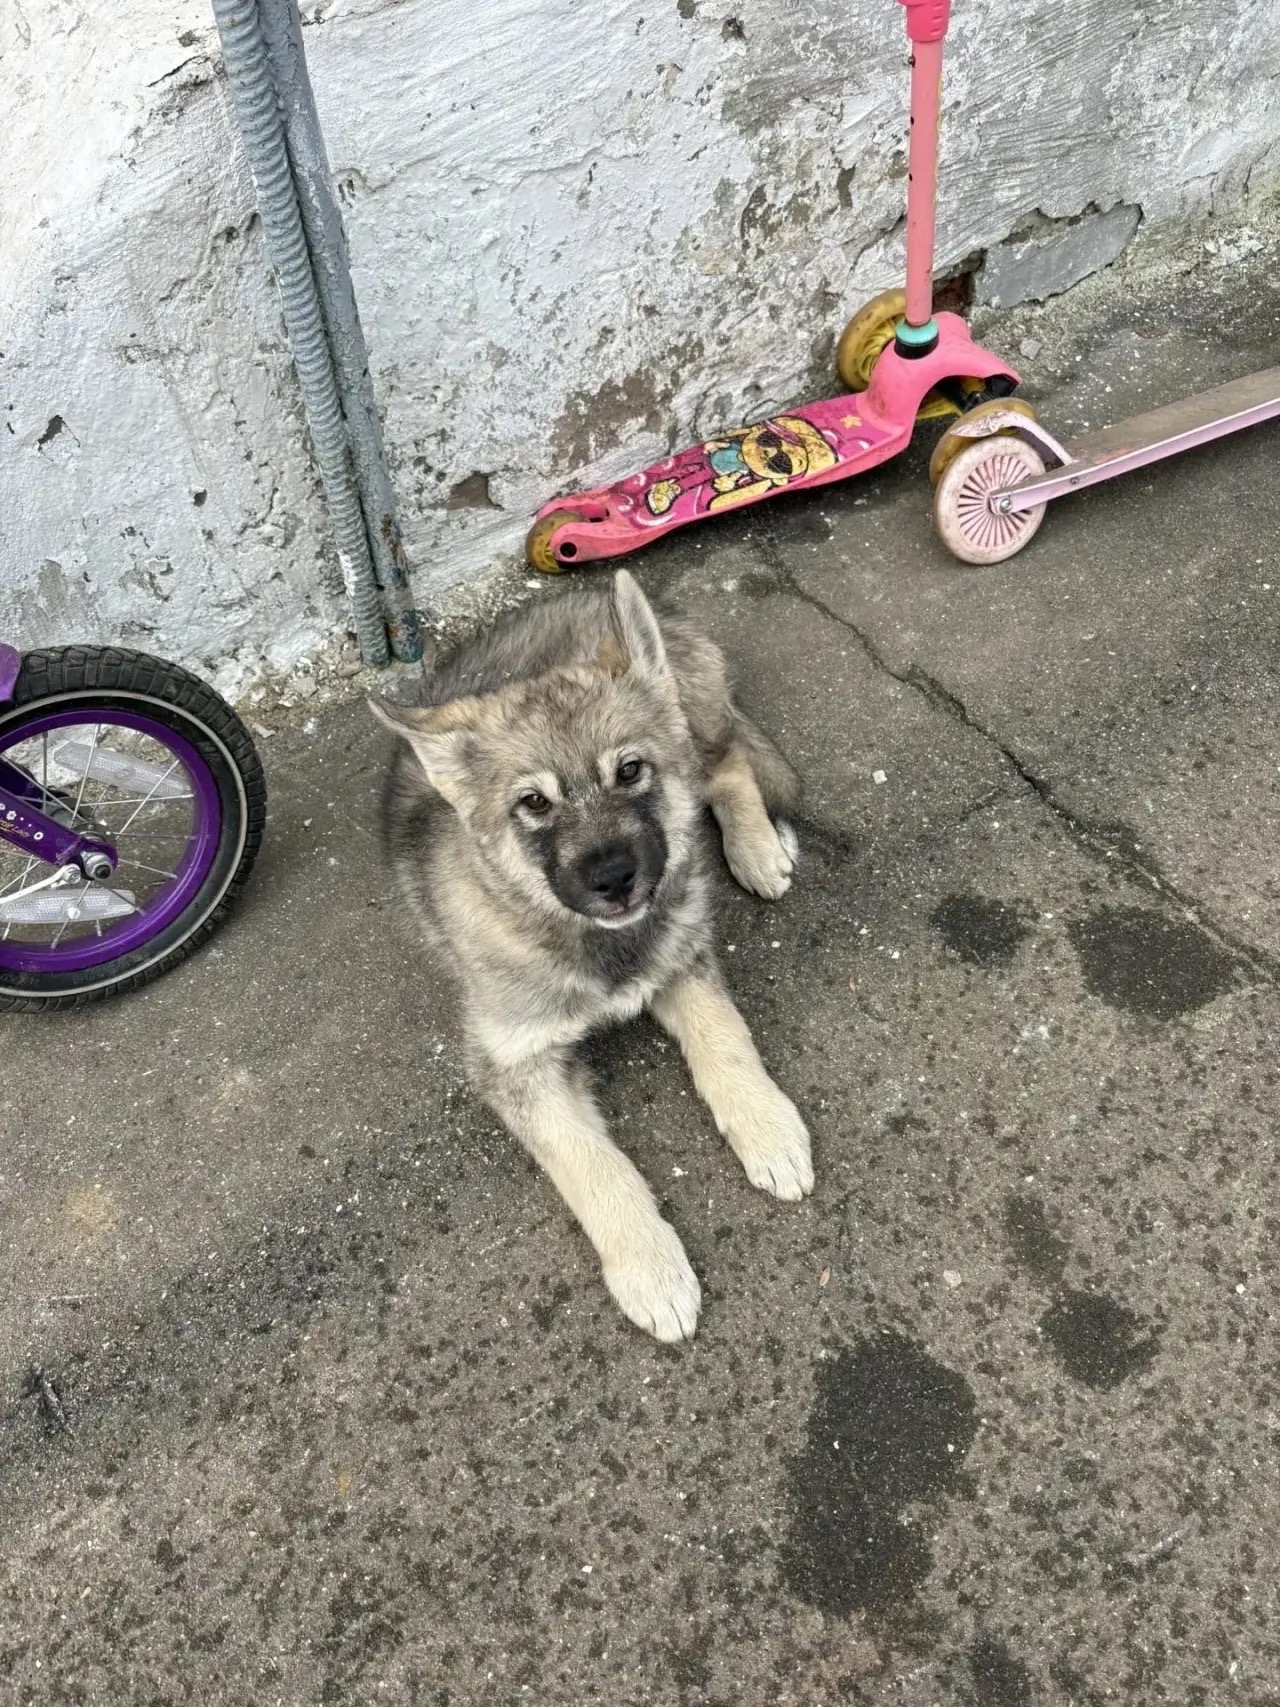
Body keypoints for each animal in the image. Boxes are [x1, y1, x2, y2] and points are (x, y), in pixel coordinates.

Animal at [371, 570, 813, 1341]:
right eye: (533, 803)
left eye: (629, 770)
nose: (615, 878)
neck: (588, 940)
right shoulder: (515, 1062)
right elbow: (591, 1164)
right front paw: (651, 1267)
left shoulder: (681, 957)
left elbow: (727, 1042)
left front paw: (767, 1126)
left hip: (696, 721)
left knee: (726, 764)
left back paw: (757, 847)